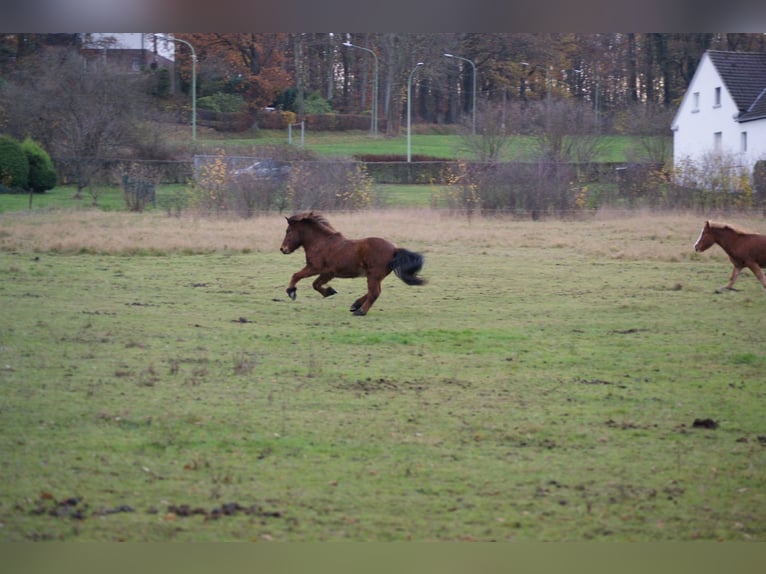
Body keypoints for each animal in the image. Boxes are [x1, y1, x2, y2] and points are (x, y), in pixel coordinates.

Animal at [280, 212, 426, 318]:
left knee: (375, 292)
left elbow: (297, 276)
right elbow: (315, 284)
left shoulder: (316, 268)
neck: (321, 243)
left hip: (373, 275)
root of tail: (394, 250)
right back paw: (356, 305)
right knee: (373, 291)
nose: (283, 249)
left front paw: (291, 292)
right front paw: (329, 292)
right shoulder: (327, 273)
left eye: (288, 231)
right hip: (376, 276)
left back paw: (360, 311)